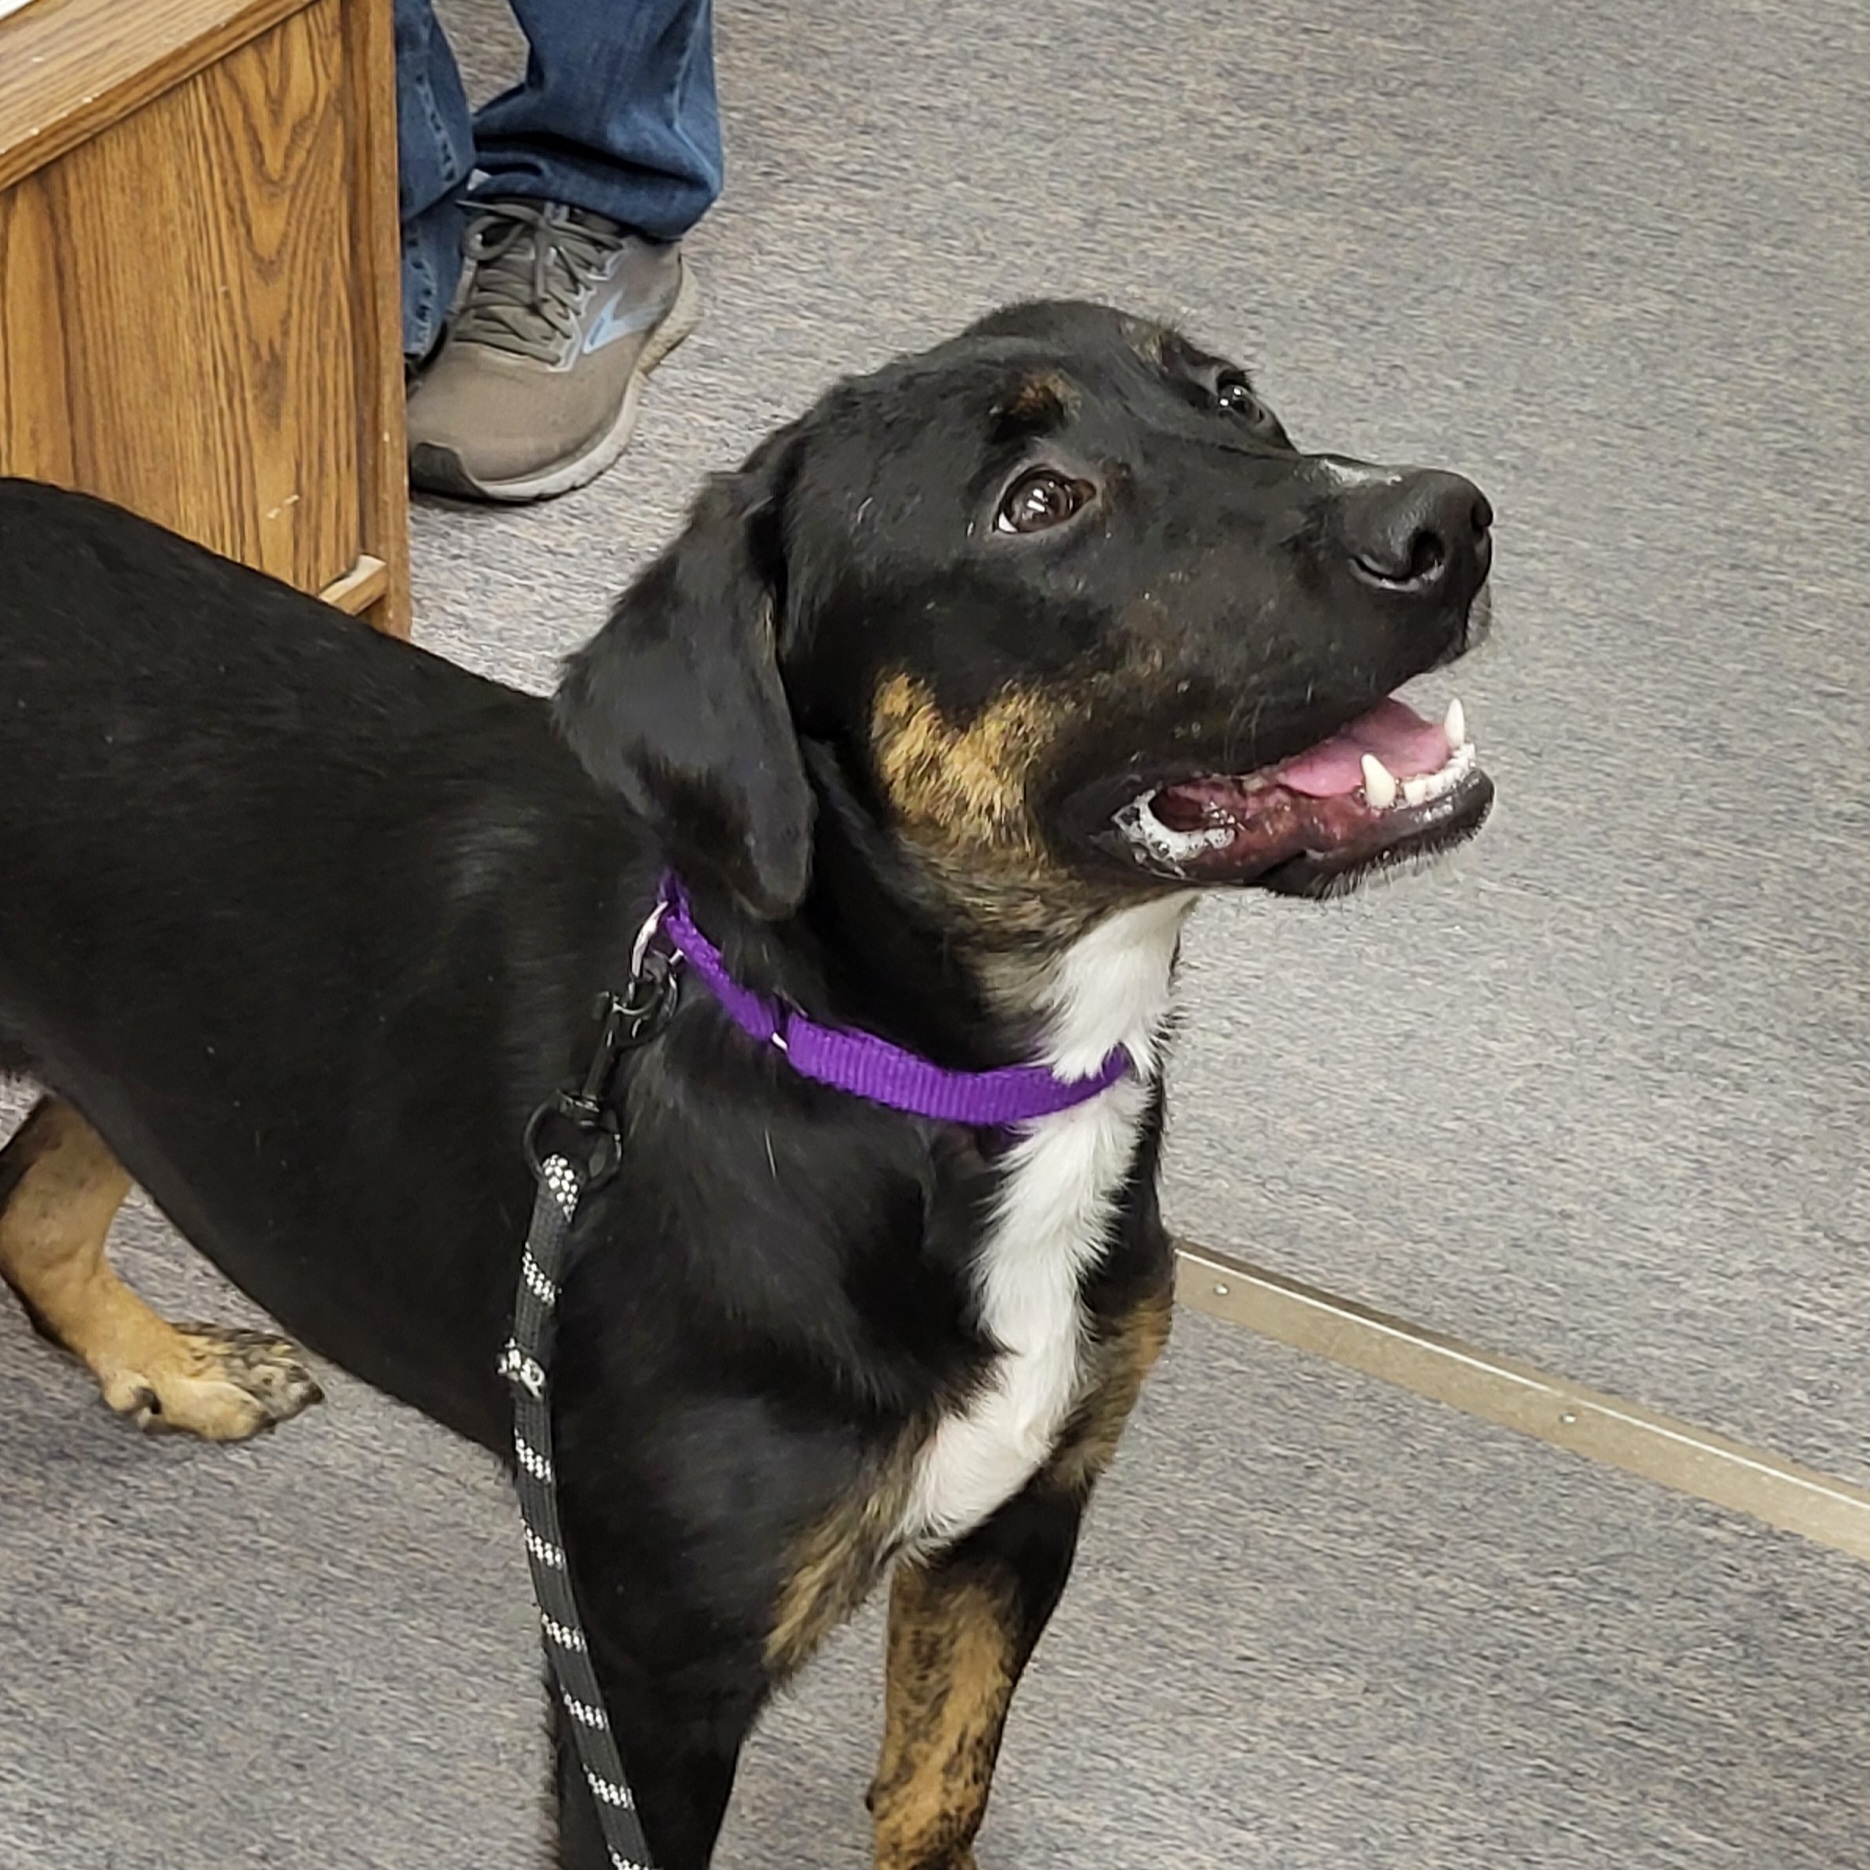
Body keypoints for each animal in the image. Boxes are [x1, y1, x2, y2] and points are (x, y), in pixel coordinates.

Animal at [0, 299, 1488, 1862]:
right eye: (1035, 504)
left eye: (1234, 394)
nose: (1446, 519)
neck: (909, 1085)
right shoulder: (649, 1682)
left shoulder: (1017, 1519)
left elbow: (937, 1789)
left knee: (33, 1203)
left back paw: (175, 1370)